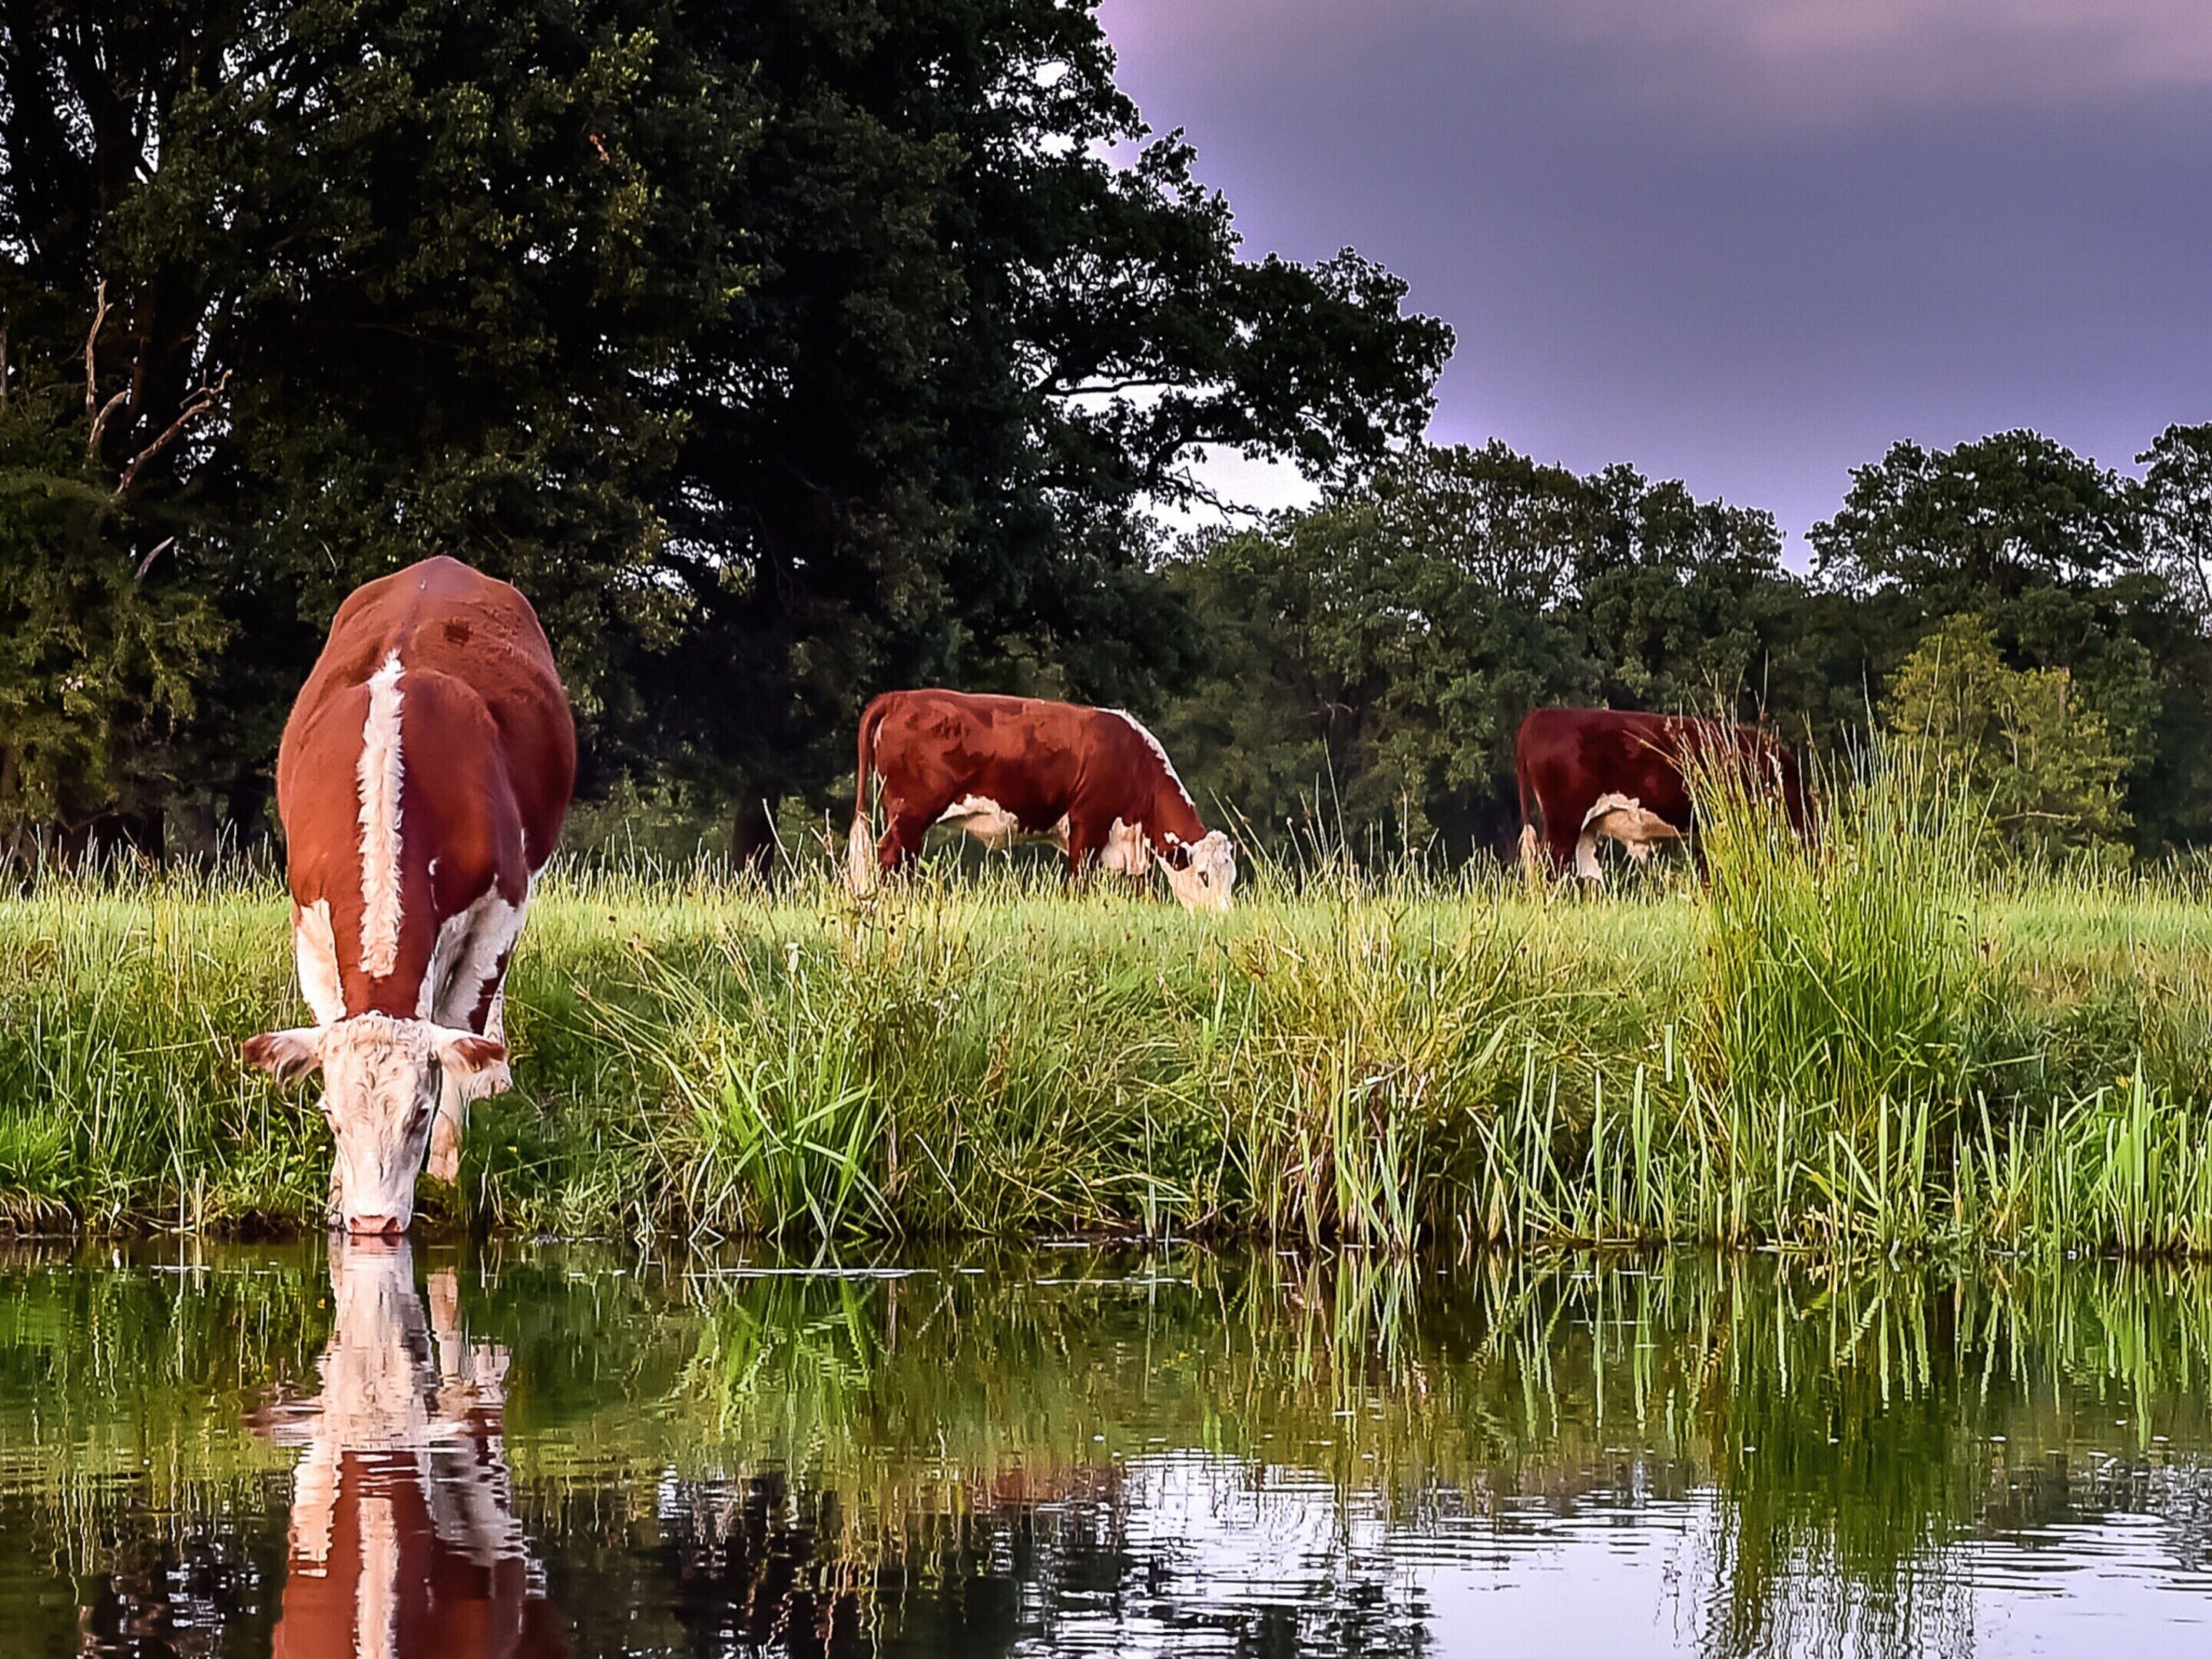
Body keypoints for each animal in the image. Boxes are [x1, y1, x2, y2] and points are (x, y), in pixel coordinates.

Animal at [243, 556, 576, 1234]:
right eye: (330, 1115)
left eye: (419, 1113)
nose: (375, 1225)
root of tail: (439, 565)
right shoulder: (309, 919)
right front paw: (337, 1194)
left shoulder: (502, 905)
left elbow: (462, 1031)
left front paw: (448, 1167)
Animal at [845, 689, 1237, 912]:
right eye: (1204, 875)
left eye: (1231, 877)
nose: (1222, 916)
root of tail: (899, 697)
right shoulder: (1087, 824)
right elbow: (1079, 880)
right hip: (910, 810)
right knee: (891, 855)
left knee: (904, 860)